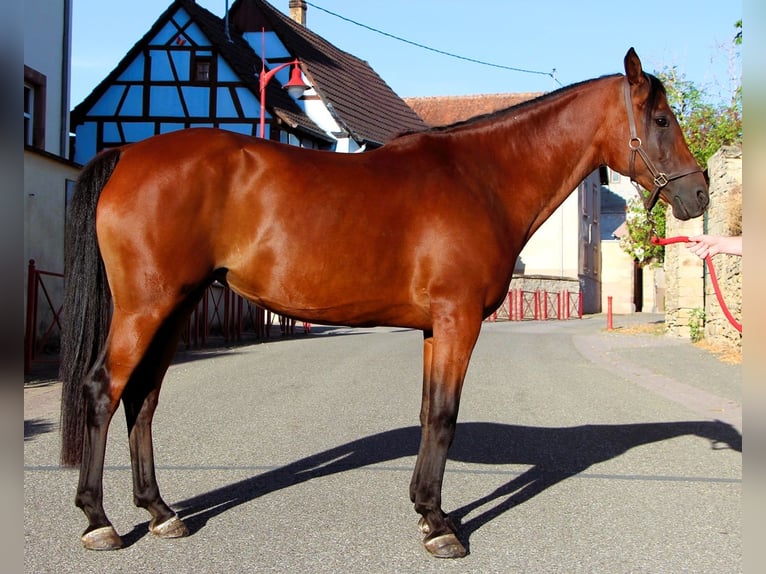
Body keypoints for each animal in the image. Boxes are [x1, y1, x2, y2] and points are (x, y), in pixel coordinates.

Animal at [59, 48, 708, 558]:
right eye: (660, 118)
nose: (698, 193)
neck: (481, 178)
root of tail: (130, 155)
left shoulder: (435, 328)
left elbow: (428, 413)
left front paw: (426, 511)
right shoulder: (457, 321)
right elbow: (444, 416)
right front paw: (444, 529)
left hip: (177, 306)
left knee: (142, 399)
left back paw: (160, 512)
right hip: (146, 307)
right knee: (103, 390)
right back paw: (100, 521)